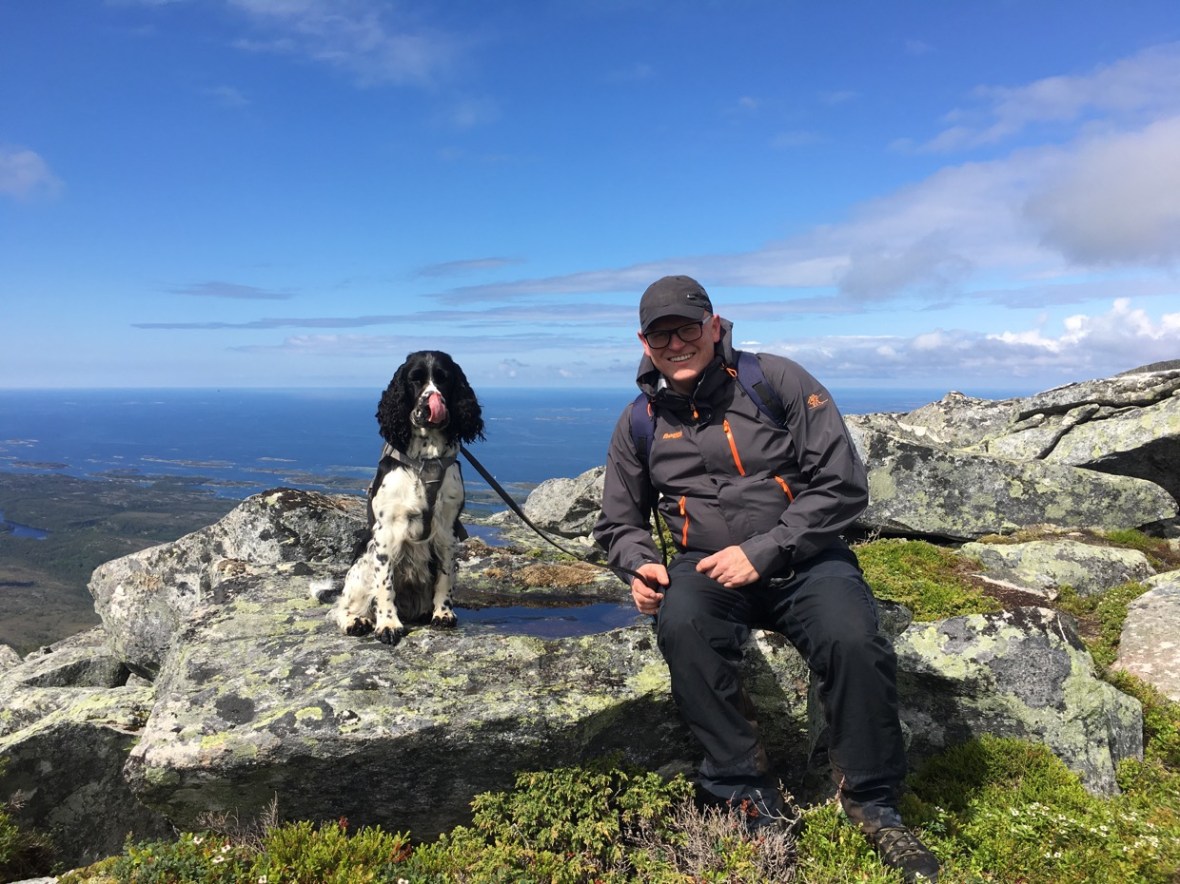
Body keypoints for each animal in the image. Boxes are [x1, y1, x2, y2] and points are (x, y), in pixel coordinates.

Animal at [329, 350, 484, 646]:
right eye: (414, 380)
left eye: (444, 379)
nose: (430, 405)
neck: (426, 459)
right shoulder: (386, 531)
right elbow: (385, 586)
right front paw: (388, 625)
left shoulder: (447, 529)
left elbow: (444, 578)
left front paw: (443, 614)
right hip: (363, 560)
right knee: (342, 606)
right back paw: (356, 621)